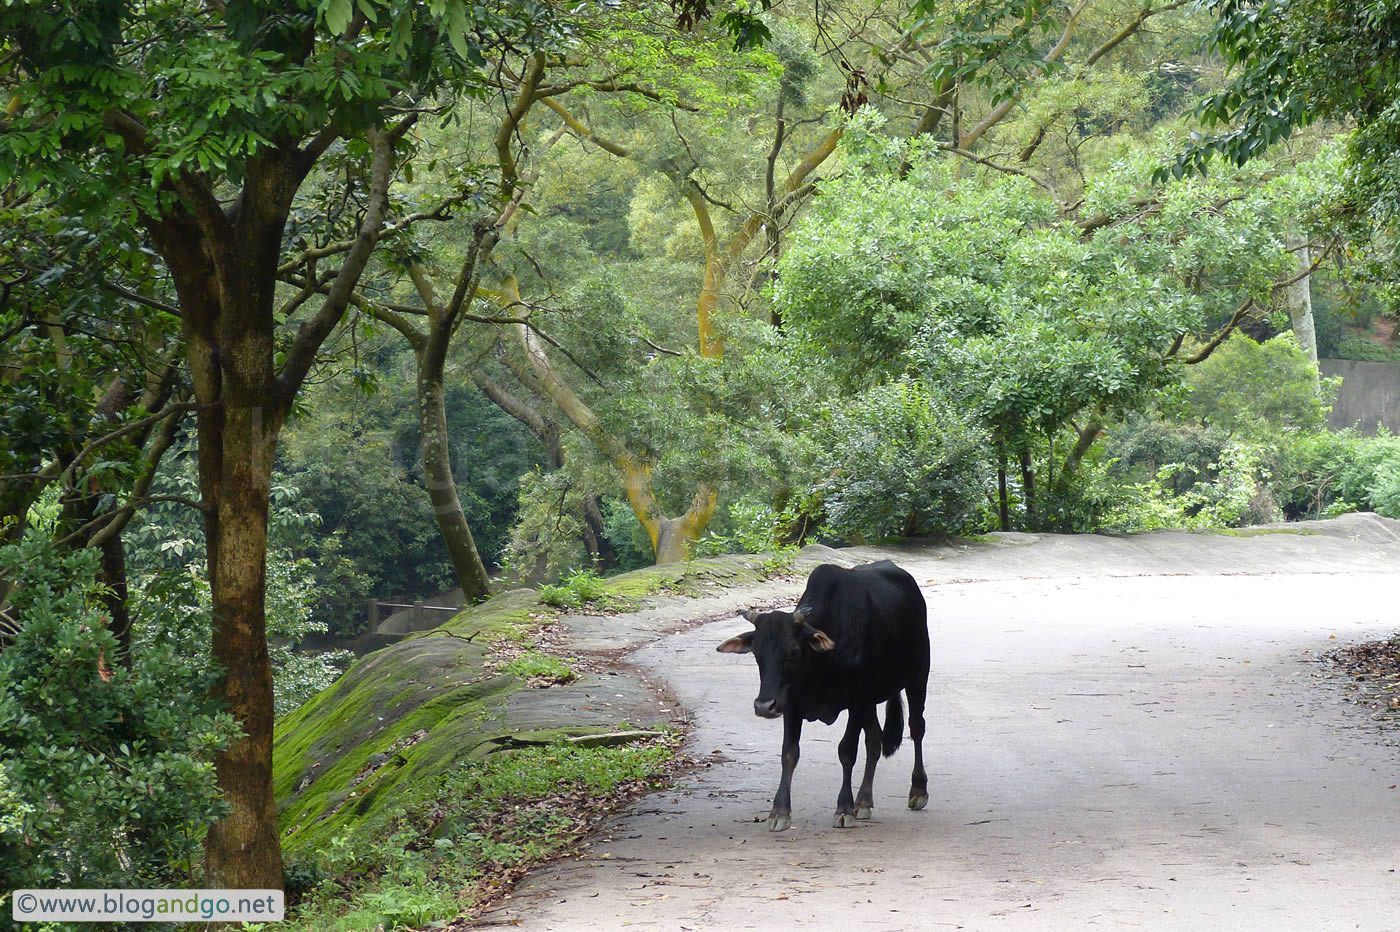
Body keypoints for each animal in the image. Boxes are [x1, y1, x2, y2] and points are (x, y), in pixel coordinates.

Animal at [716, 560, 930, 832]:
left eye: (794, 651)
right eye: (756, 652)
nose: (764, 705)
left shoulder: (855, 700)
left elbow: (847, 751)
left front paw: (843, 808)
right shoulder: (792, 704)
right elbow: (789, 753)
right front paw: (779, 812)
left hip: (917, 676)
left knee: (916, 728)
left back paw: (918, 791)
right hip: (872, 700)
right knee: (875, 739)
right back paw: (864, 801)